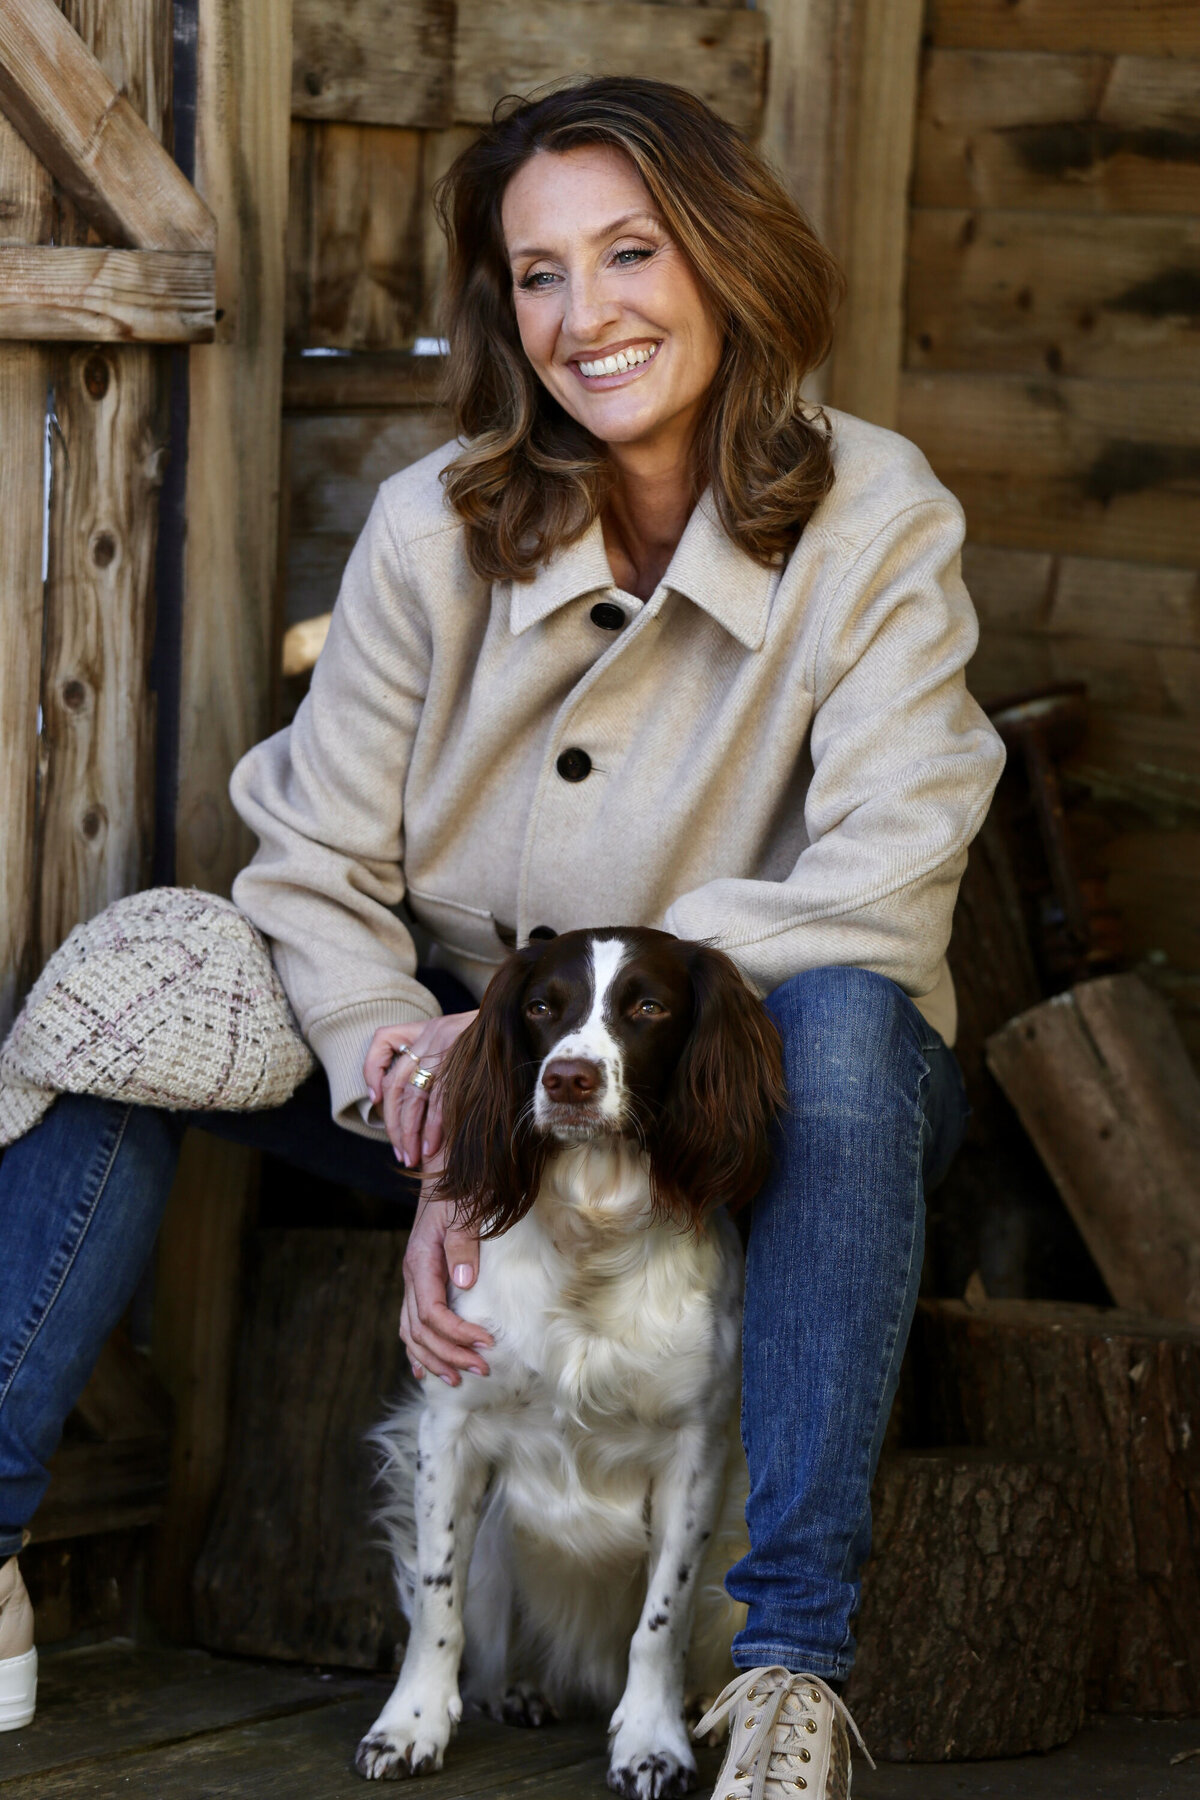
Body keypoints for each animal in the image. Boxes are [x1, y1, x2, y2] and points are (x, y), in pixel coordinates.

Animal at [355, 927, 784, 1795]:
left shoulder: (695, 1454)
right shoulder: (449, 1428)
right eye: (540, 1007)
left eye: (648, 1006)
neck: (594, 1231)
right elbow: (437, 1601)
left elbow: (661, 1620)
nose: (568, 1079)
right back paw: (519, 1688)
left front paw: (651, 1741)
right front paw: (411, 1725)